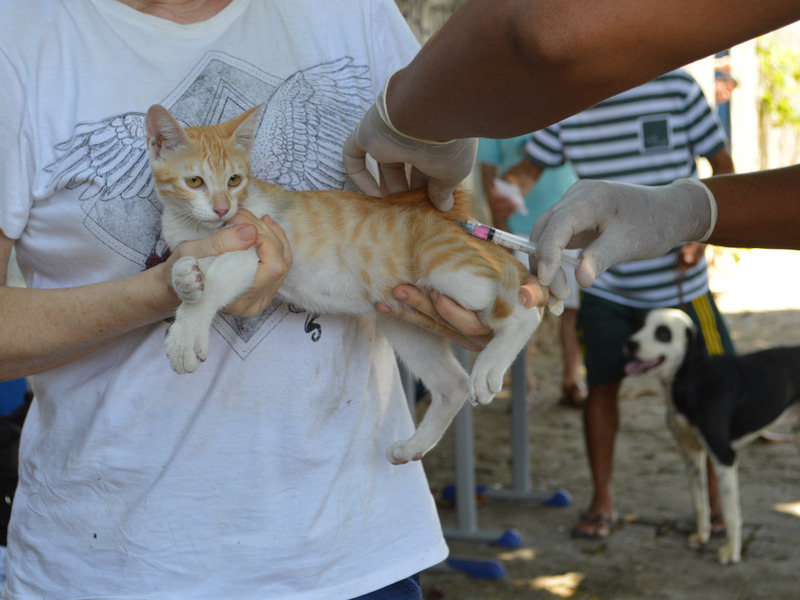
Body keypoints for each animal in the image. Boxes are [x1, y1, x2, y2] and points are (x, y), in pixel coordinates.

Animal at [144, 105, 544, 464]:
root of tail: (454, 219)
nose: (222, 209)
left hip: (447, 268)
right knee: (452, 385)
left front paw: (185, 335)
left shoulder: (254, 246)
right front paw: (184, 280)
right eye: (194, 181)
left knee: (527, 312)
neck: (199, 228)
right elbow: (187, 269)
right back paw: (413, 445)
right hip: (402, 319)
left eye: (234, 180)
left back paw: (489, 368)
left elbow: (214, 283)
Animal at [624, 308, 800, 564]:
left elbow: (729, 512)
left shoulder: (723, 457)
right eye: (638, 325)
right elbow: (699, 501)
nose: (630, 343)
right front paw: (701, 536)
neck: (693, 378)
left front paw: (732, 552)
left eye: (663, 333)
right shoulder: (690, 453)